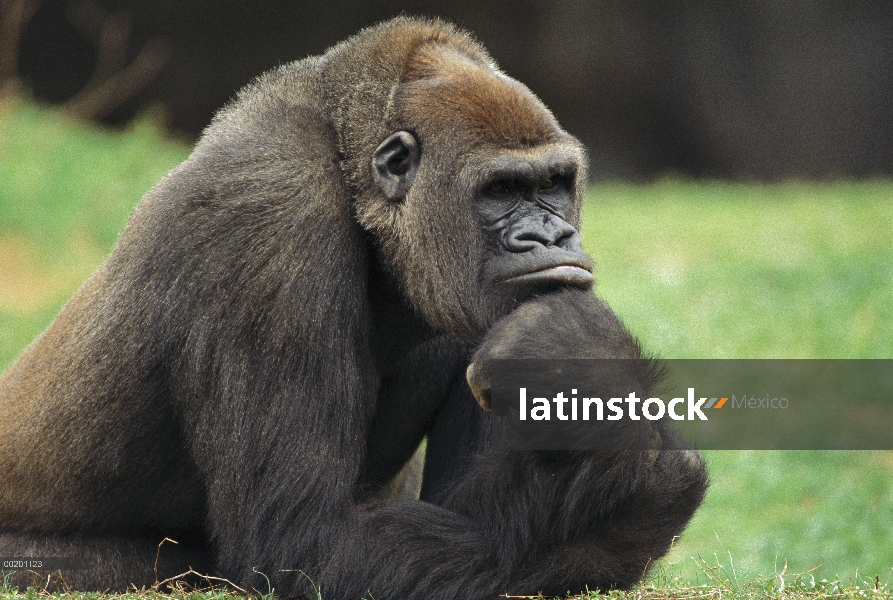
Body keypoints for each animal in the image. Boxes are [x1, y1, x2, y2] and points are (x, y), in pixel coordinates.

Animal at [1, 16, 712, 596]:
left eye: (556, 185)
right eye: (501, 191)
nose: (553, 237)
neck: (355, 178)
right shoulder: (272, 213)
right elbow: (304, 543)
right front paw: (641, 486)